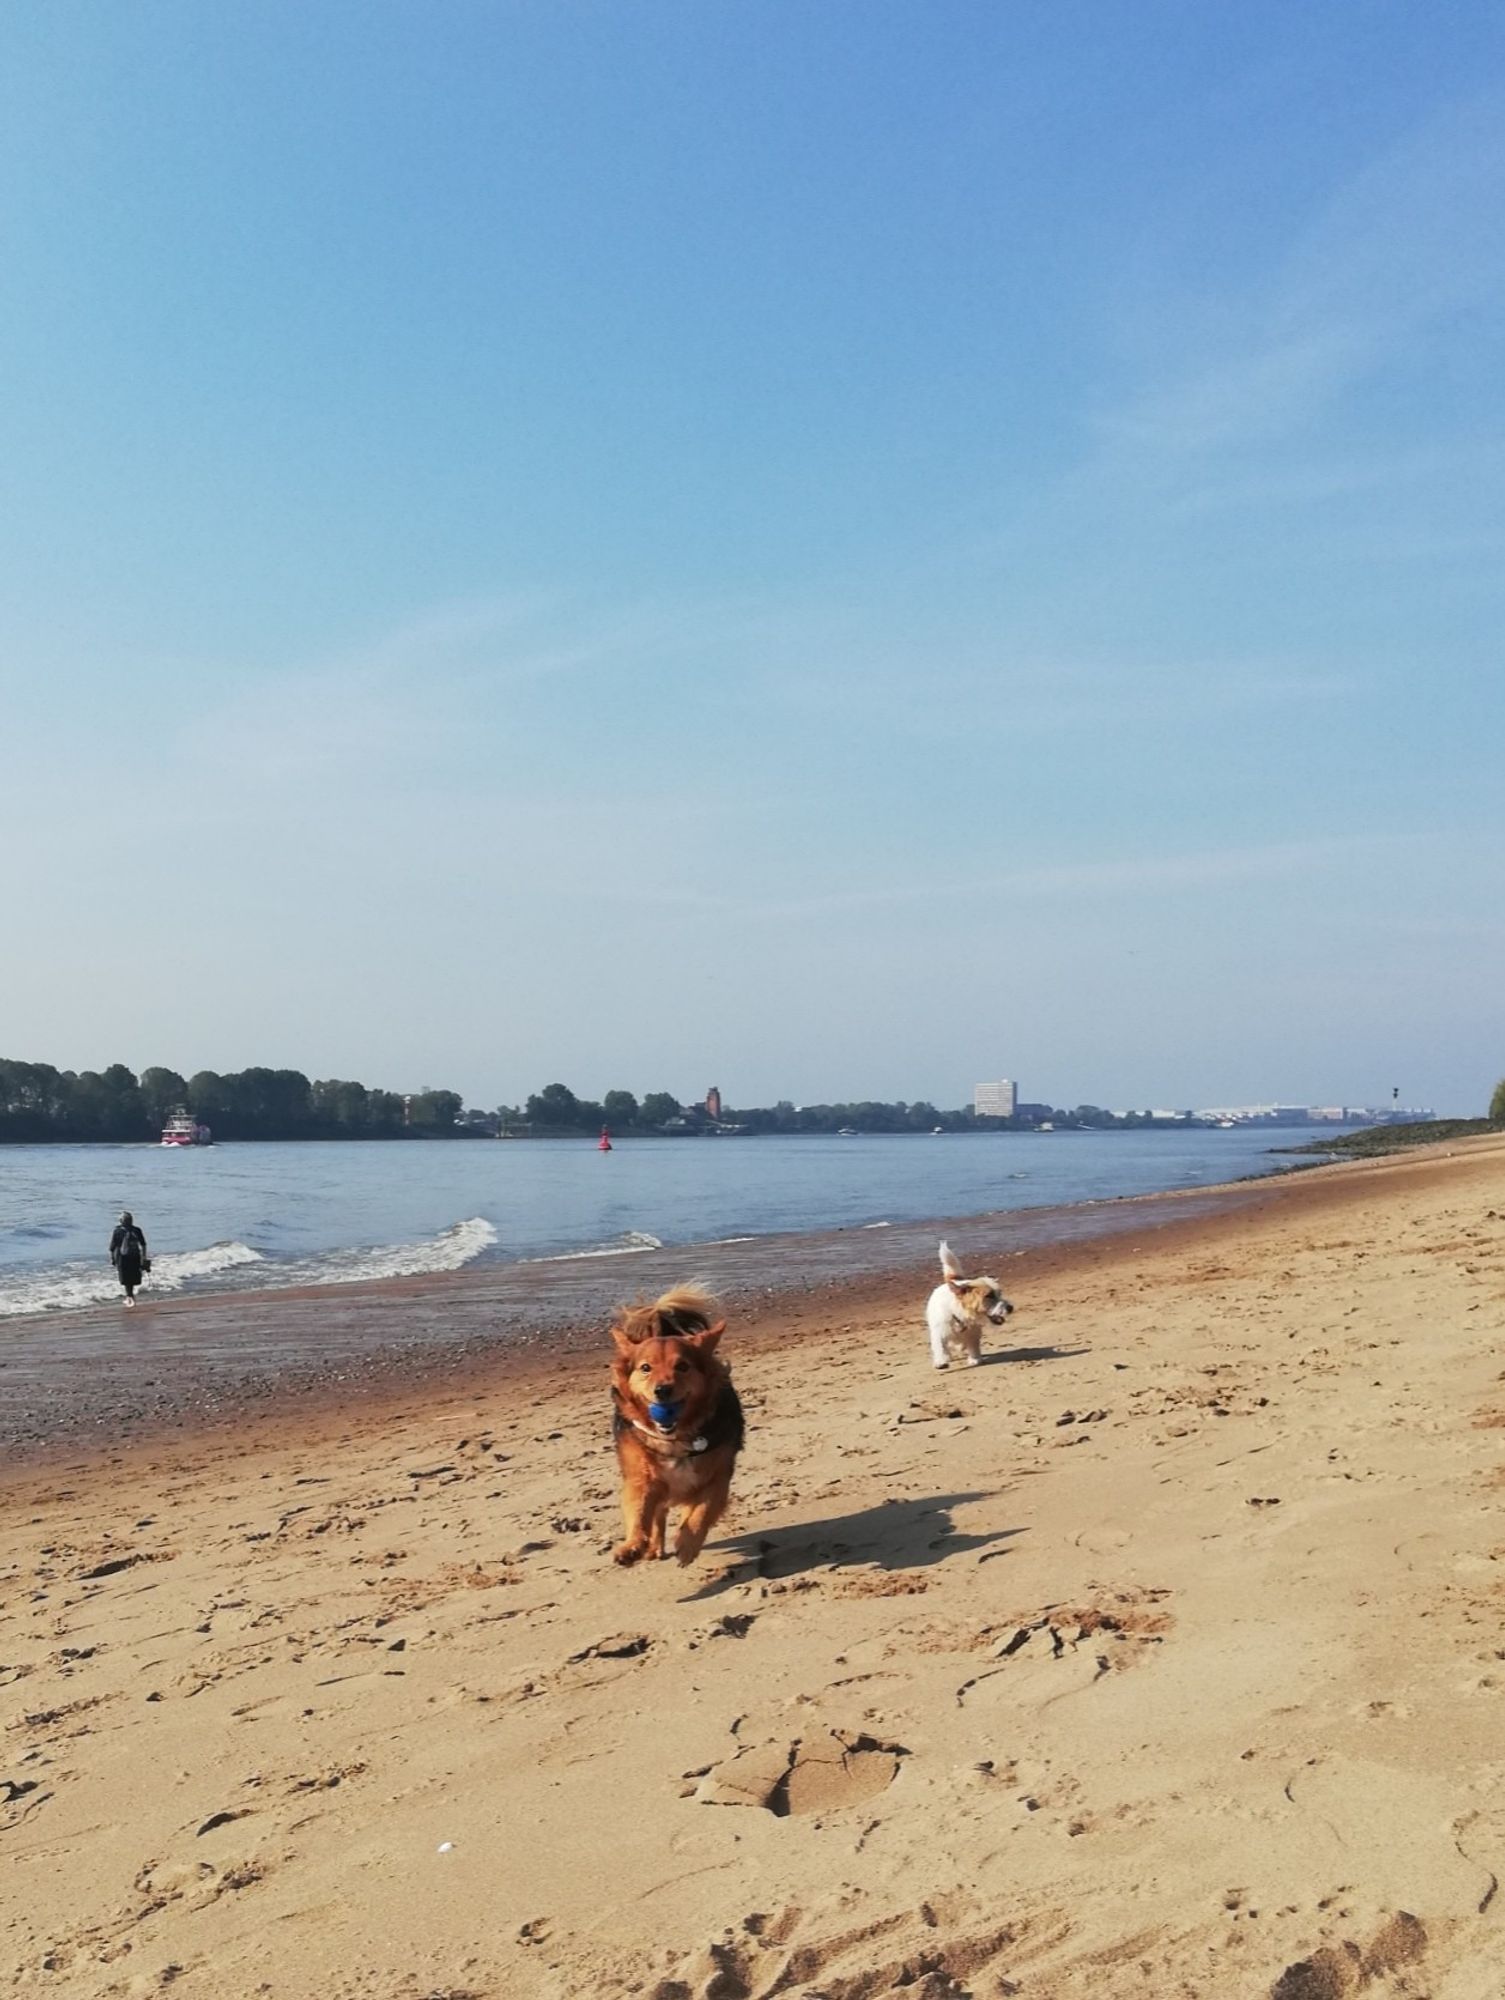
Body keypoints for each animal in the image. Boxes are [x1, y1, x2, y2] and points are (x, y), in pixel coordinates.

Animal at [608, 1288, 744, 1568]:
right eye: (645, 1368)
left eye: (682, 1366)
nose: (662, 1390)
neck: (676, 1436)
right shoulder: (641, 1479)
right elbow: (639, 1513)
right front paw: (632, 1546)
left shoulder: (717, 1479)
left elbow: (701, 1512)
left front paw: (688, 1544)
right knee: (659, 1513)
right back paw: (653, 1547)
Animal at [924, 1240, 1016, 1368]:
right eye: (989, 1296)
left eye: (999, 1293)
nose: (1010, 1308)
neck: (959, 1316)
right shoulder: (939, 1332)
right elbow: (940, 1347)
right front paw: (941, 1361)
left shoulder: (973, 1333)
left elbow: (973, 1345)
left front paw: (975, 1358)